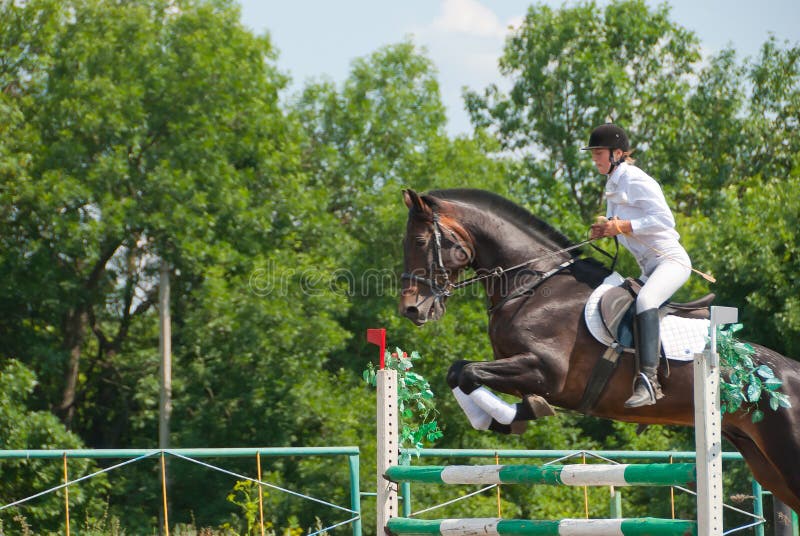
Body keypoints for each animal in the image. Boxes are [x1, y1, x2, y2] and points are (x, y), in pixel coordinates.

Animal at [398, 187, 800, 510]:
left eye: (419, 243)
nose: (411, 309)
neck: (533, 285)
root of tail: (788, 371)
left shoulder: (546, 372)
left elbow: (469, 373)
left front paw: (512, 415)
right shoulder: (518, 367)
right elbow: (457, 371)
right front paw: (504, 417)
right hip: (766, 464)